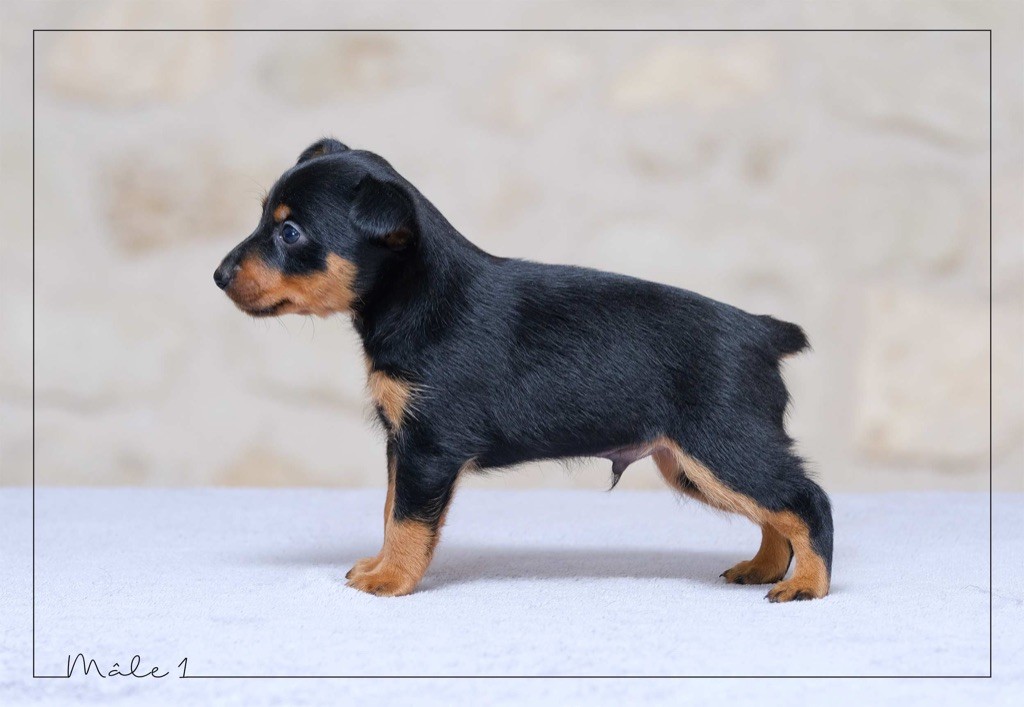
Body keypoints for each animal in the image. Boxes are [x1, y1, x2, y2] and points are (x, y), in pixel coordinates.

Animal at [214, 138, 833, 601]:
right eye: (263, 218)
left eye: (290, 233)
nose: (218, 275)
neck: (416, 295)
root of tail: (762, 331)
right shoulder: (402, 443)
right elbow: (389, 508)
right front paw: (377, 563)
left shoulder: (429, 447)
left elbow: (408, 519)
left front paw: (390, 579)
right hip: (690, 462)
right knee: (777, 512)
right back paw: (762, 569)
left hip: (721, 446)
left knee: (806, 501)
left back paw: (806, 585)